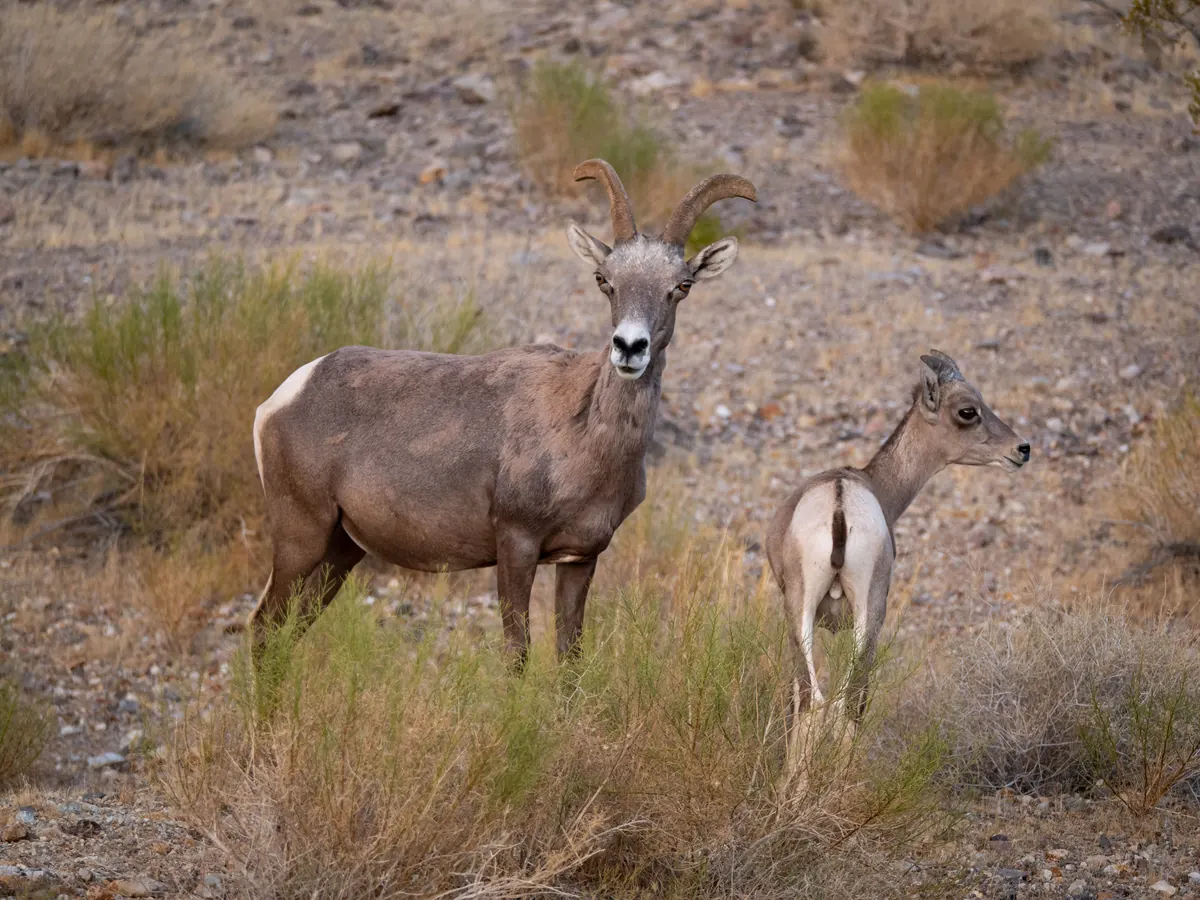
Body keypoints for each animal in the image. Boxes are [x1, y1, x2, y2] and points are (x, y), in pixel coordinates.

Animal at [249, 159, 757, 666]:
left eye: (682, 286)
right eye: (605, 280)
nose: (629, 347)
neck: (584, 440)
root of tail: (284, 396)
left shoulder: (580, 559)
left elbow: (569, 658)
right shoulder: (516, 545)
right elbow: (518, 654)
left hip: (341, 550)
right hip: (302, 536)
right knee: (261, 628)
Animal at [765, 350, 1030, 764]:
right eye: (968, 411)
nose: (1022, 449)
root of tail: (839, 502)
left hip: (814, 611)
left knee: (820, 703)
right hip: (862, 616)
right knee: (843, 704)